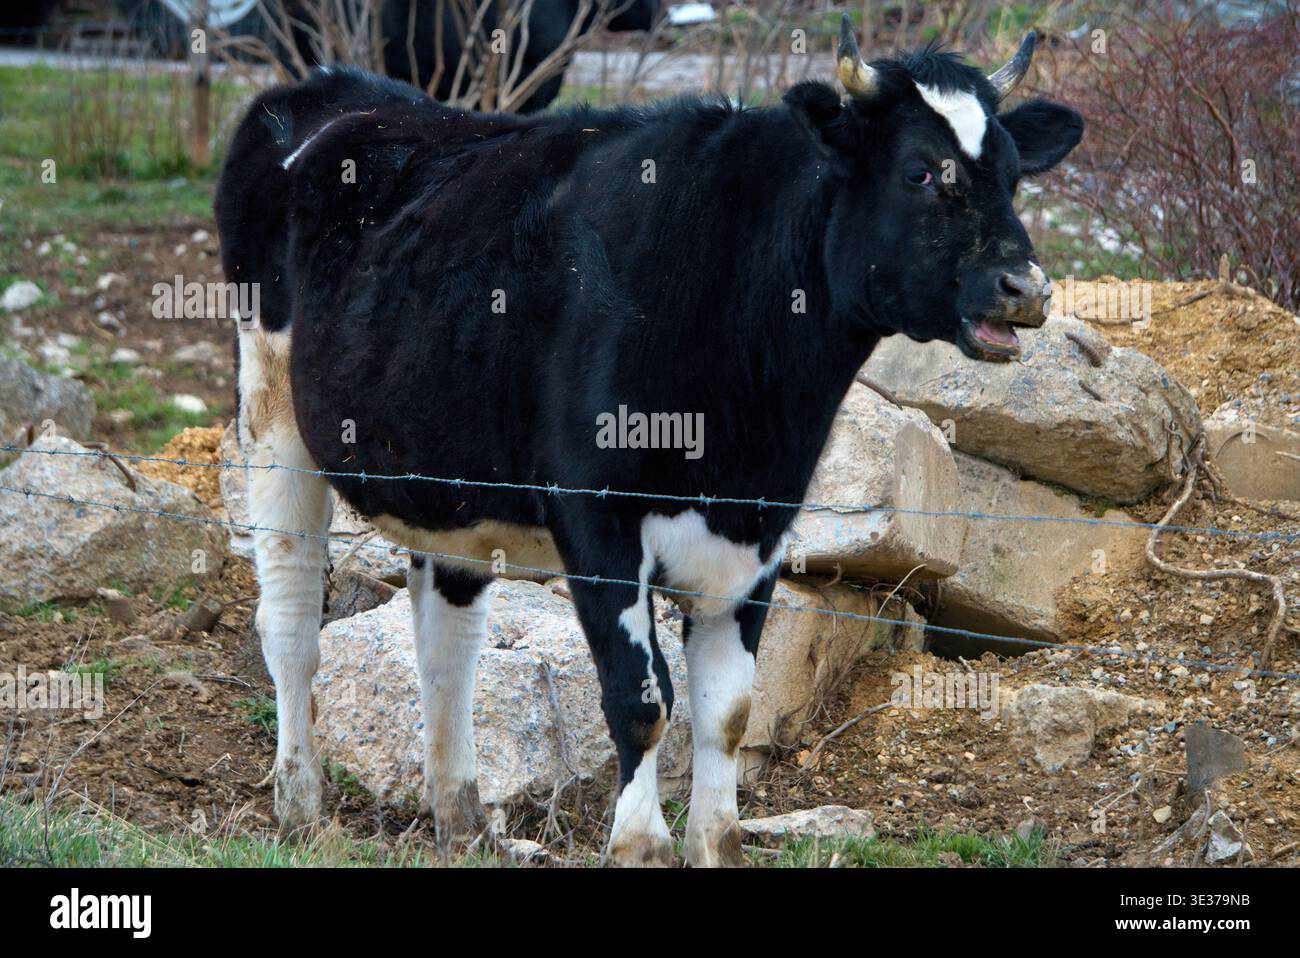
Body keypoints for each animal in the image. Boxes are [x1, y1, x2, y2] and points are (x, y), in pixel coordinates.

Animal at [214, 15, 1082, 866]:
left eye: (1012, 175)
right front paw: (640, 842)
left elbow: (727, 709)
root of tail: (332, 91)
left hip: (447, 478)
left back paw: (462, 824)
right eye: (921, 172)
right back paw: (301, 807)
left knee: (447, 646)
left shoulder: (759, 527)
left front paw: (716, 844)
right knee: (291, 622)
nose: (1026, 287)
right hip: (271, 412)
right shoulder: (596, 515)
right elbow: (641, 699)